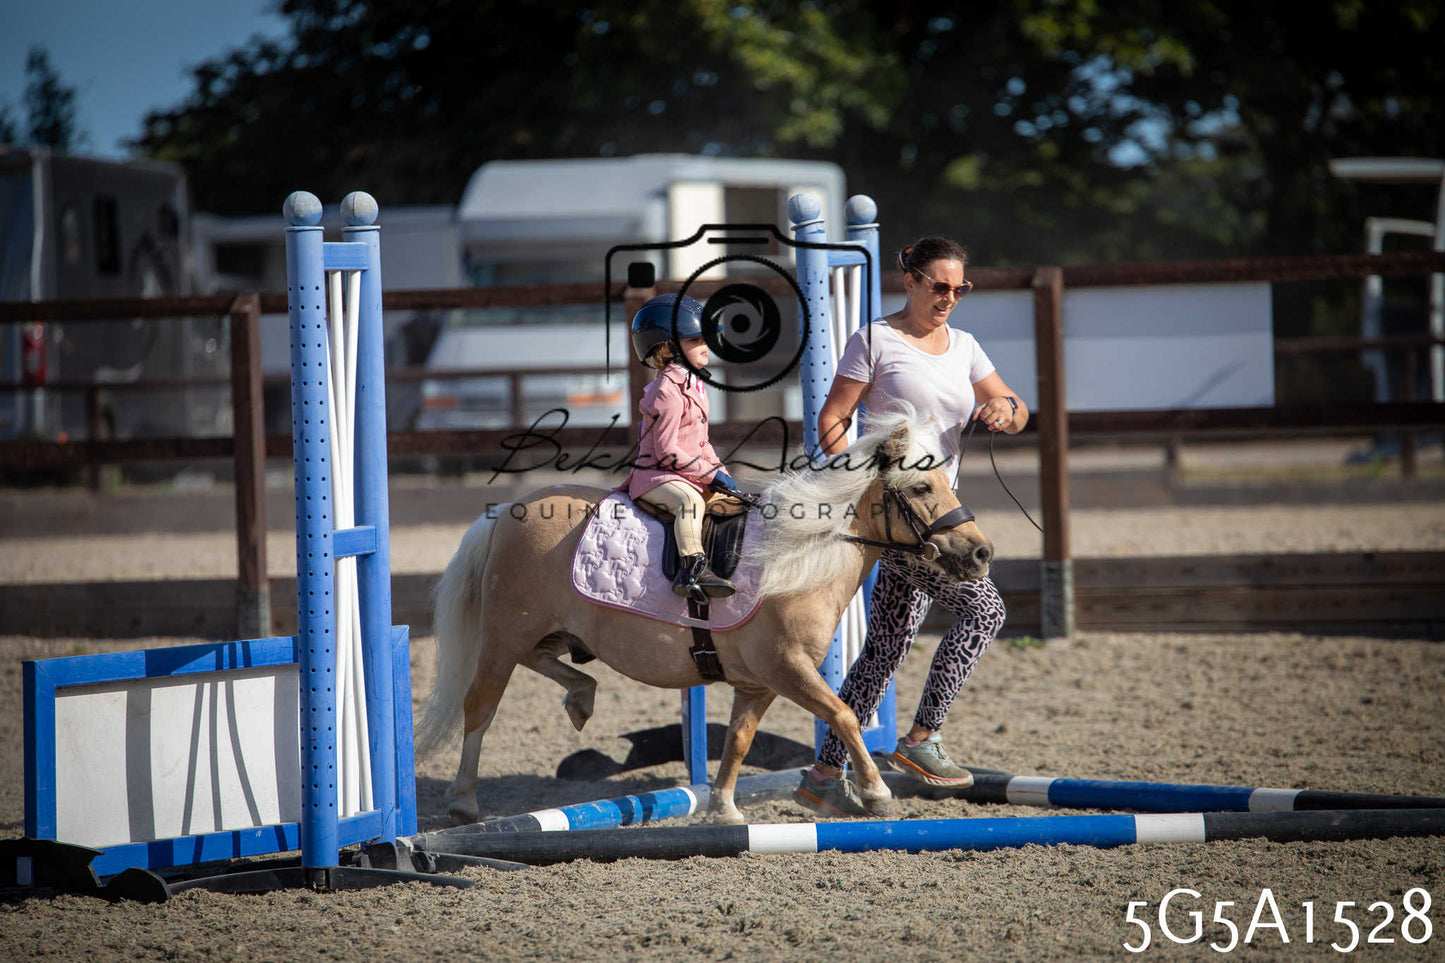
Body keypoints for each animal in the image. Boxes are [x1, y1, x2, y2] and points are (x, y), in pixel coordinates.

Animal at [416, 404, 995, 825]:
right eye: (920, 487)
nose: (981, 552)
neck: (796, 557)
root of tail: (504, 513)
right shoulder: (788, 670)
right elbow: (845, 714)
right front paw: (875, 792)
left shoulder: (759, 684)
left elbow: (739, 741)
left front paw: (721, 808)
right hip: (504, 637)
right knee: (480, 707)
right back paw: (464, 802)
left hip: (550, 635)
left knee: (548, 665)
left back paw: (582, 697)